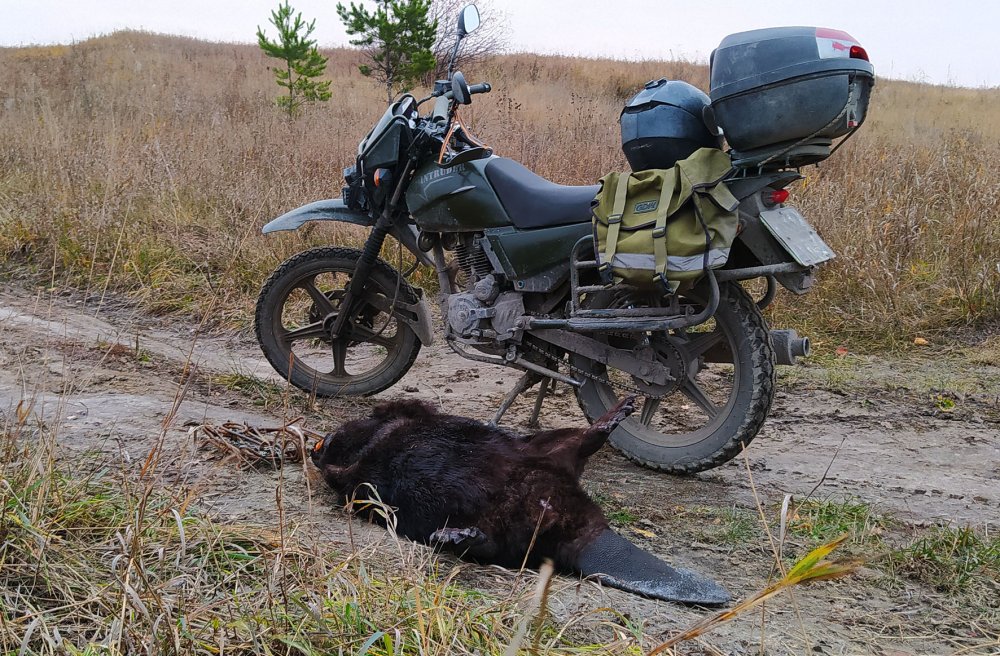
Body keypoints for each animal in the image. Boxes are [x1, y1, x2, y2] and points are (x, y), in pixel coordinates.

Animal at [310, 396, 729, 605]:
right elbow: (347, 479)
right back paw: (455, 536)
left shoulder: (408, 419)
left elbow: (403, 411)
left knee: (573, 446)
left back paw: (616, 414)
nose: (322, 441)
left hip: (536, 449)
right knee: (496, 544)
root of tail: (587, 534)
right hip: (516, 507)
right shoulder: (357, 477)